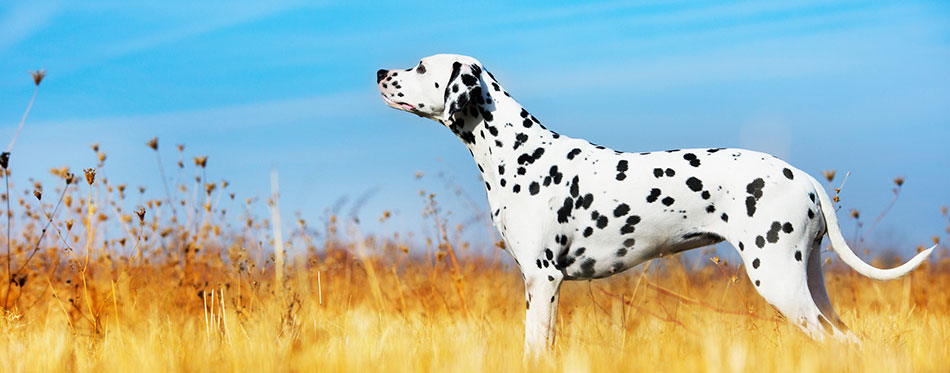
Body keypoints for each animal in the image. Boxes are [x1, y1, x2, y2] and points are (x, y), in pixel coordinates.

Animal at [376, 53, 940, 352]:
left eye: (421, 66)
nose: (380, 72)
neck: (518, 151)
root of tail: (801, 175)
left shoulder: (543, 280)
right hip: (810, 283)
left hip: (779, 281)